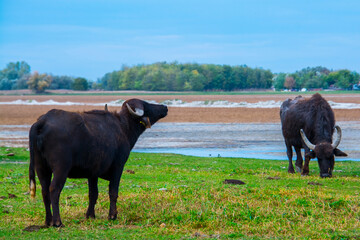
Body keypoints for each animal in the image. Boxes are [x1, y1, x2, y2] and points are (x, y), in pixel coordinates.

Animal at [29, 98, 167, 226]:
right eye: (147, 105)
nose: (165, 107)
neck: (123, 127)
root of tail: (42, 122)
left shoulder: (93, 173)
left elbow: (93, 194)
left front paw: (90, 215)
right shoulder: (118, 166)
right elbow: (113, 192)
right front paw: (112, 215)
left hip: (41, 168)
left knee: (44, 191)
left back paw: (48, 221)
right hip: (61, 169)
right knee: (54, 190)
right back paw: (57, 221)